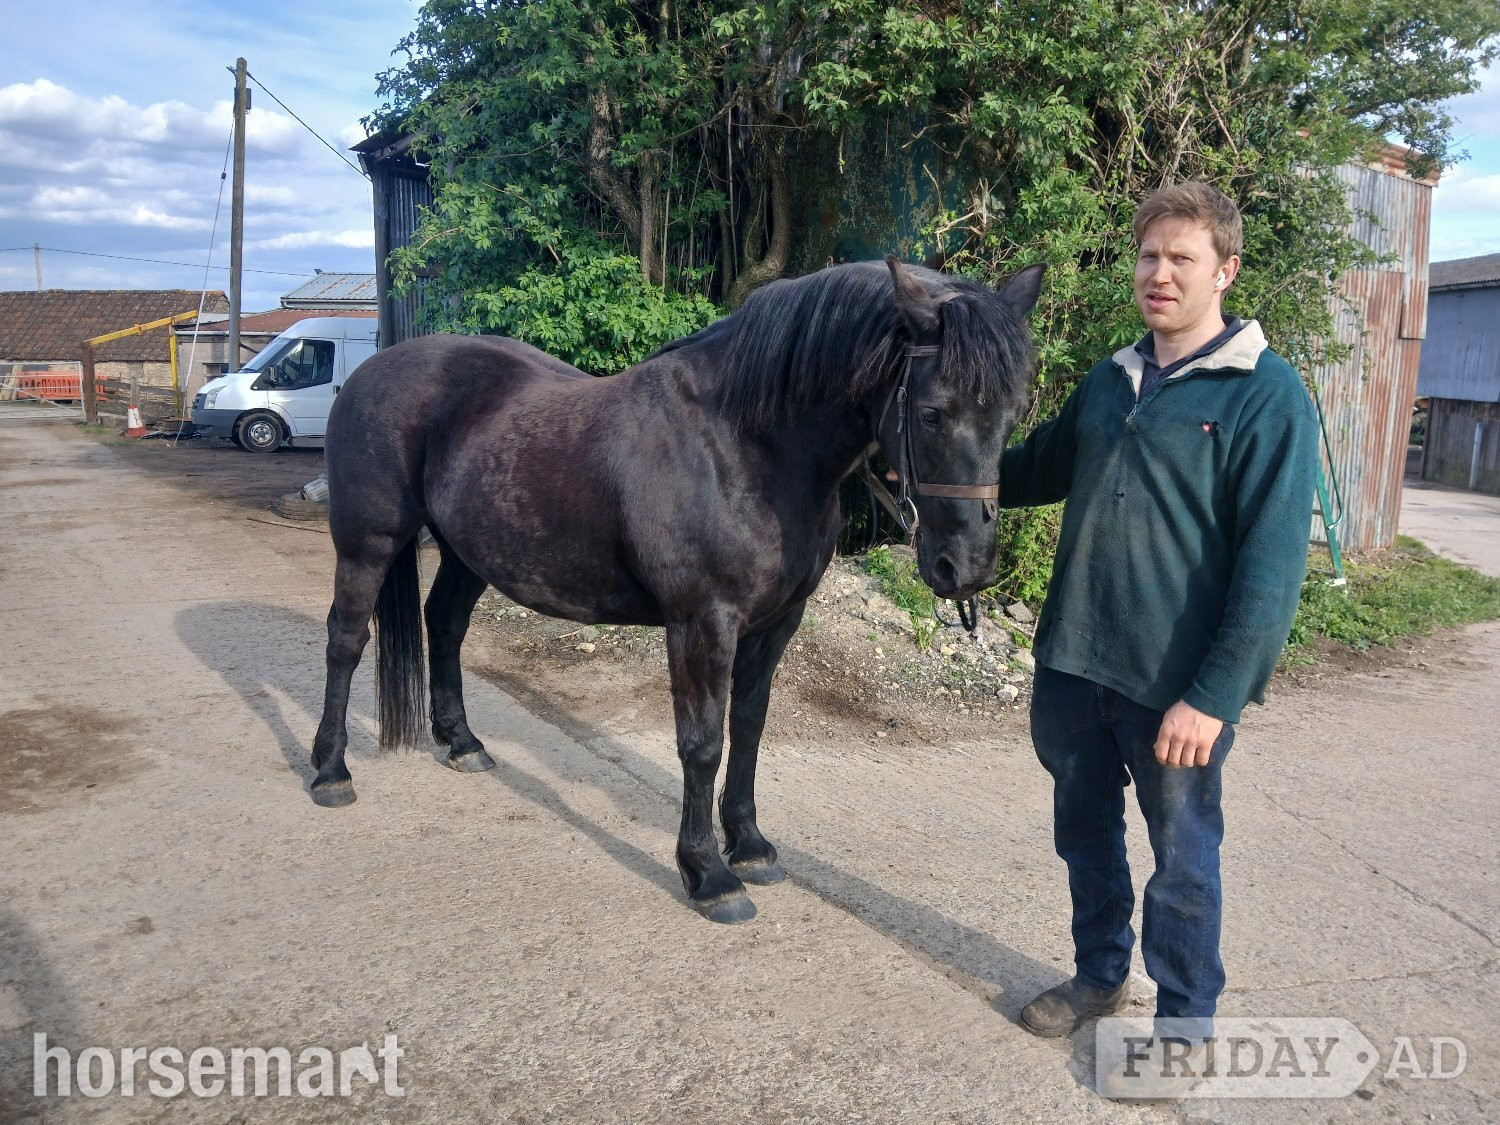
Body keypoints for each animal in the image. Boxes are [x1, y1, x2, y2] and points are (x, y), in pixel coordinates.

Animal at [310, 255, 1044, 923]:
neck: (743, 447)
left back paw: (461, 743)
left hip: (469, 549)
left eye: (1016, 412)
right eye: (932, 412)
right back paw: (330, 771)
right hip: (368, 543)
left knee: (445, 624)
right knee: (346, 640)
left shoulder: (778, 621)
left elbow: (748, 728)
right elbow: (703, 741)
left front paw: (749, 845)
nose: (966, 568)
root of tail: (372, 371)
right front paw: (709, 874)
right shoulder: (702, 622)